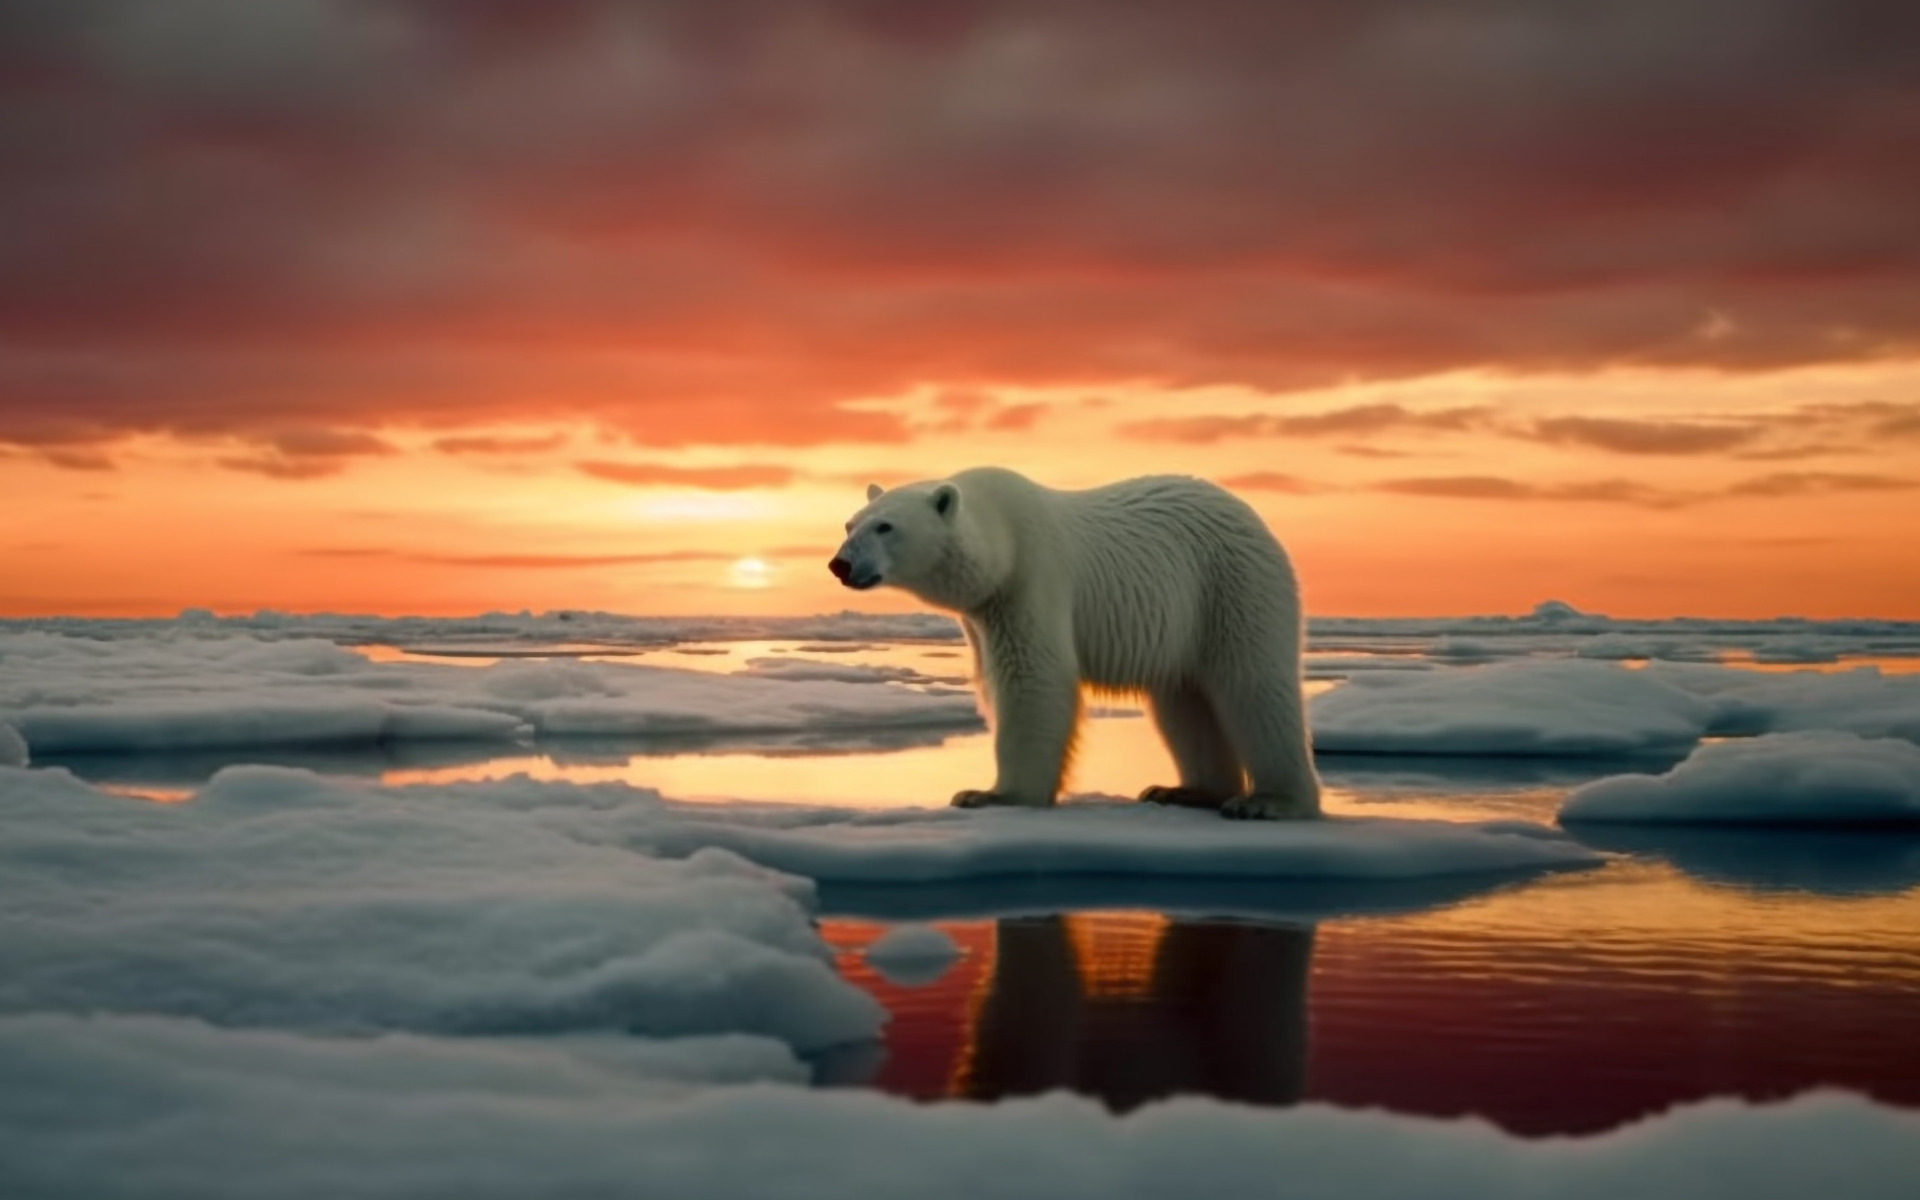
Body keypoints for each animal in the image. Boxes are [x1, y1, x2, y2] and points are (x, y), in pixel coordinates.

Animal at [829, 462, 1320, 817]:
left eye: (885, 527)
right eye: (850, 524)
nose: (841, 565)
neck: (1001, 541)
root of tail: (1254, 519)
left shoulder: (1029, 580)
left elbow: (1033, 679)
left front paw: (991, 794)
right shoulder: (983, 614)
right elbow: (992, 680)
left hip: (1230, 584)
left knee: (1252, 685)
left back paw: (1269, 801)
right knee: (1185, 701)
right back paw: (1183, 790)